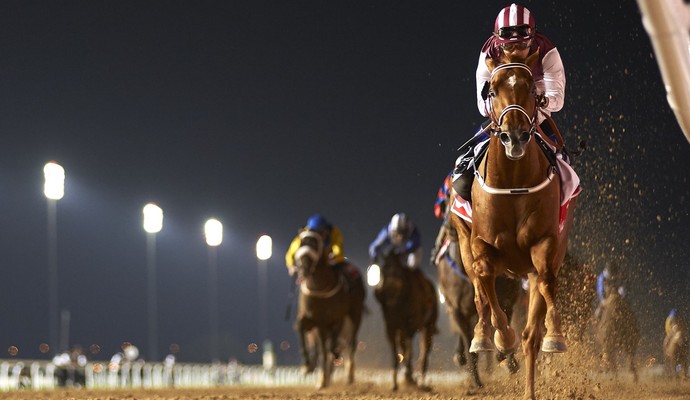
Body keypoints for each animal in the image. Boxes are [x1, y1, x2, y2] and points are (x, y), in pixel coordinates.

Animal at [292, 230, 366, 390]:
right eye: (301, 243)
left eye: (315, 243)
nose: (304, 267)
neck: (318, 287)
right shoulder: (311, 319)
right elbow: (301, 329)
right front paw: (307, 366)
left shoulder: (331, 320)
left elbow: (329, 346)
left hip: (355, 314)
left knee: (350, 342)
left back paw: (348, 375)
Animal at [370, 247, 436, 390]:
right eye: (384, 270)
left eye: (398, 272)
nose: (389, 287)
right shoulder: (391, 325)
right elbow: (396, 350)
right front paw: (394, 384)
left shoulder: (411, 324)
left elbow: (409, 349)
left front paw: (409, 376)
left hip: (429, 325)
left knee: (424, 350)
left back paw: (421, 380)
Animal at [448, 50, 576, 400]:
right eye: (491, 90)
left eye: (532, 89)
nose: (515, 135)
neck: (514, 183)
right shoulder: (481, 246)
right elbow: (485, 284)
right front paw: (500, 338)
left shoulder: (545, 245)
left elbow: (546, 283)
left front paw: (555, 336)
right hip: (464, 243)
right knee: (480, 295)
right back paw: (484, 336)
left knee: (532, 330)